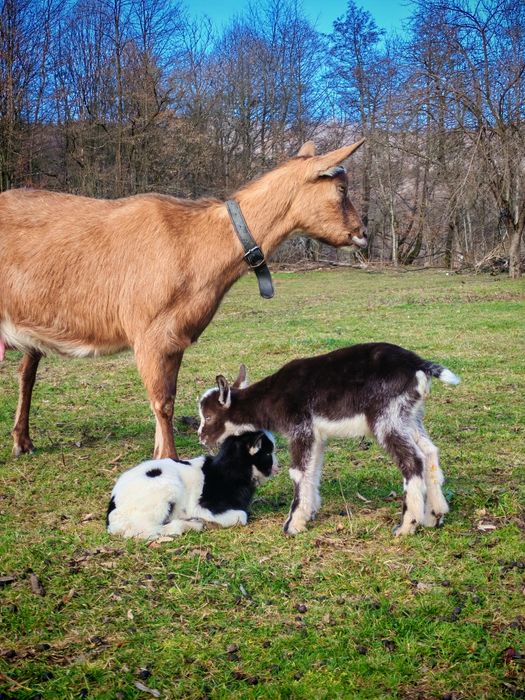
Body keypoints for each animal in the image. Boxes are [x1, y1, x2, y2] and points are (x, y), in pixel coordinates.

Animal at [0, 139, 366, 459]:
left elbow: (169, 399)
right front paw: (169, 463)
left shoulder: (174, 338)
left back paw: (22, 442)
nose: (362, 233)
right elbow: (162, 403)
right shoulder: (148, 333)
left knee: (26, 372)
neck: (196, 242)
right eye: (341, 189)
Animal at [107, 430, 277, 539]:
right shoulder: (203, 506)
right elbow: (242, 515)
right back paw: (192, 525)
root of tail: (112, 518)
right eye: (268, 453)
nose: (278, 466)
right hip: (166, 490)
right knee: (146, 530)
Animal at [198, 343, 460, 536]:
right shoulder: (316, 436)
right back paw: (434, 515)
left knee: (413, 461)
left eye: (208, 416)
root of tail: (418, 364)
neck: (272, 397)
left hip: (387, 417)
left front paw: (293, 524)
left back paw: (406, 526)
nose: (201, 437)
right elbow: (313, 471)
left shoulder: (300, 428)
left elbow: (299, 473)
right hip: (409, 416)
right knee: (429, 452)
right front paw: (310, 513)